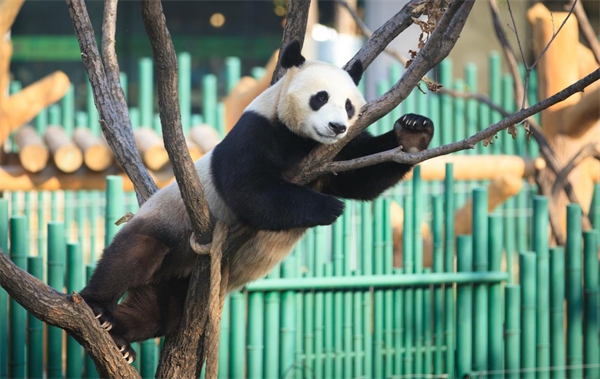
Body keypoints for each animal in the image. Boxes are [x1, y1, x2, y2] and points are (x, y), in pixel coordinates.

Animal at [82, 40, 434, 364]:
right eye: (320, 97)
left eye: (348, 105)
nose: (336, 127)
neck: (302, 140)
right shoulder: (256, 132)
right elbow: (249, 189)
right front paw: (329, 208)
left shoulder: (335, 153)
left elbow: (364, 176)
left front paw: (414, 131)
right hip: (165, 225)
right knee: (133, 255)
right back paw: (98, 310)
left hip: (176, 287)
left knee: (156, 313)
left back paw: (121, 338)